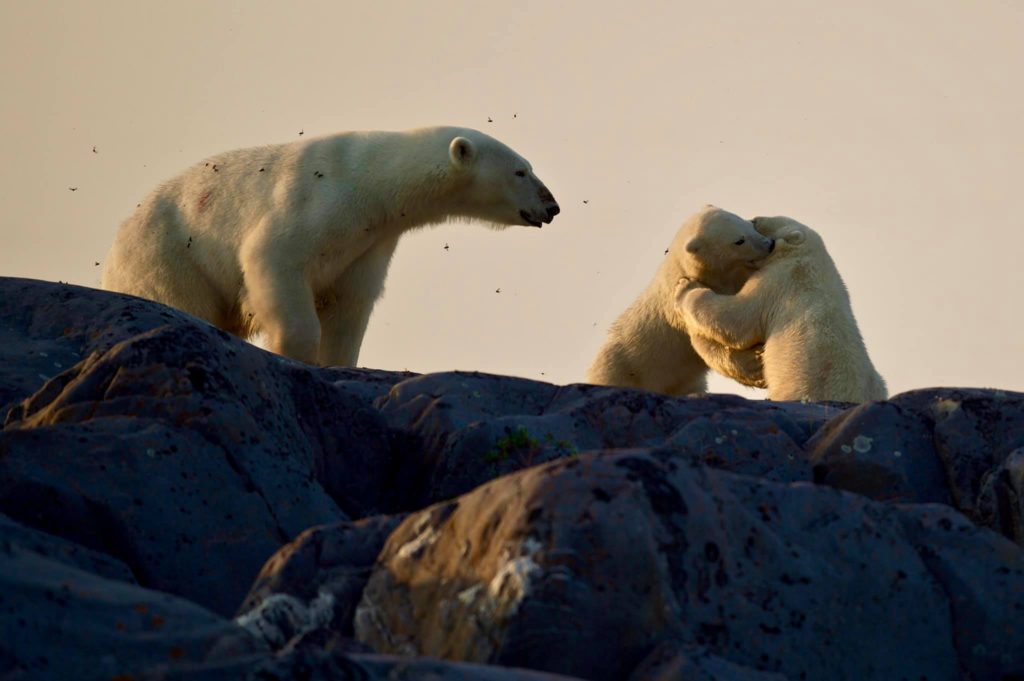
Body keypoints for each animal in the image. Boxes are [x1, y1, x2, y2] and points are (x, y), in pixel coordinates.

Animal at [101, 126, 560, 366]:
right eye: (521, 171)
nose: (552, 206)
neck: (371, 180)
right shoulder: (316, 203)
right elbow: (272, 260)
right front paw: (292, 353)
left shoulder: (369, 241)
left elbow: (349, 304)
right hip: (167, 255)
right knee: (181, 300)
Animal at [585, 206, 775, 396]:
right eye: (739, 240)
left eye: (750, 224)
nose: (769, 244)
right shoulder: (679, 313)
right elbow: (706, 341)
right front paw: (756, 364)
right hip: (620, 368)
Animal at [675, 215, 887, 403]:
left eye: (759, 223)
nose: (755, 217)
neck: (809, 256)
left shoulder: (778, 280)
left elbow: (737, 320)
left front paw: (685, 286)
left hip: (802, 384)